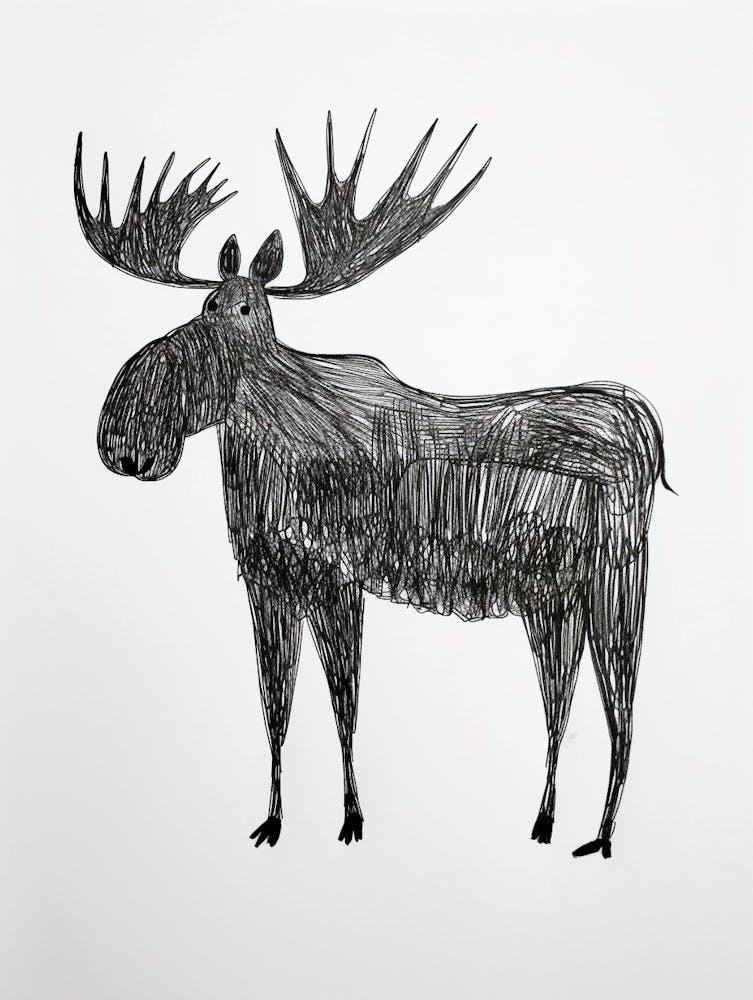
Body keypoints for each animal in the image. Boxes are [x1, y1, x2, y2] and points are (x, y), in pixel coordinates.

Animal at [74, 112, 671, 859]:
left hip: (615, 582)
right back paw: (547, 823)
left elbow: (342, 705)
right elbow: (275, 709)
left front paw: (351, 819)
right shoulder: (268, 580)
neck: (255, 460)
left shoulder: (335, 576)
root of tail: (648, 430)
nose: (123, 434)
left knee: (622, 709)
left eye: (244, 311)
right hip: (553, 598)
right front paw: (274, 821)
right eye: (207, 303)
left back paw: (601, 836)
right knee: (562, 704)